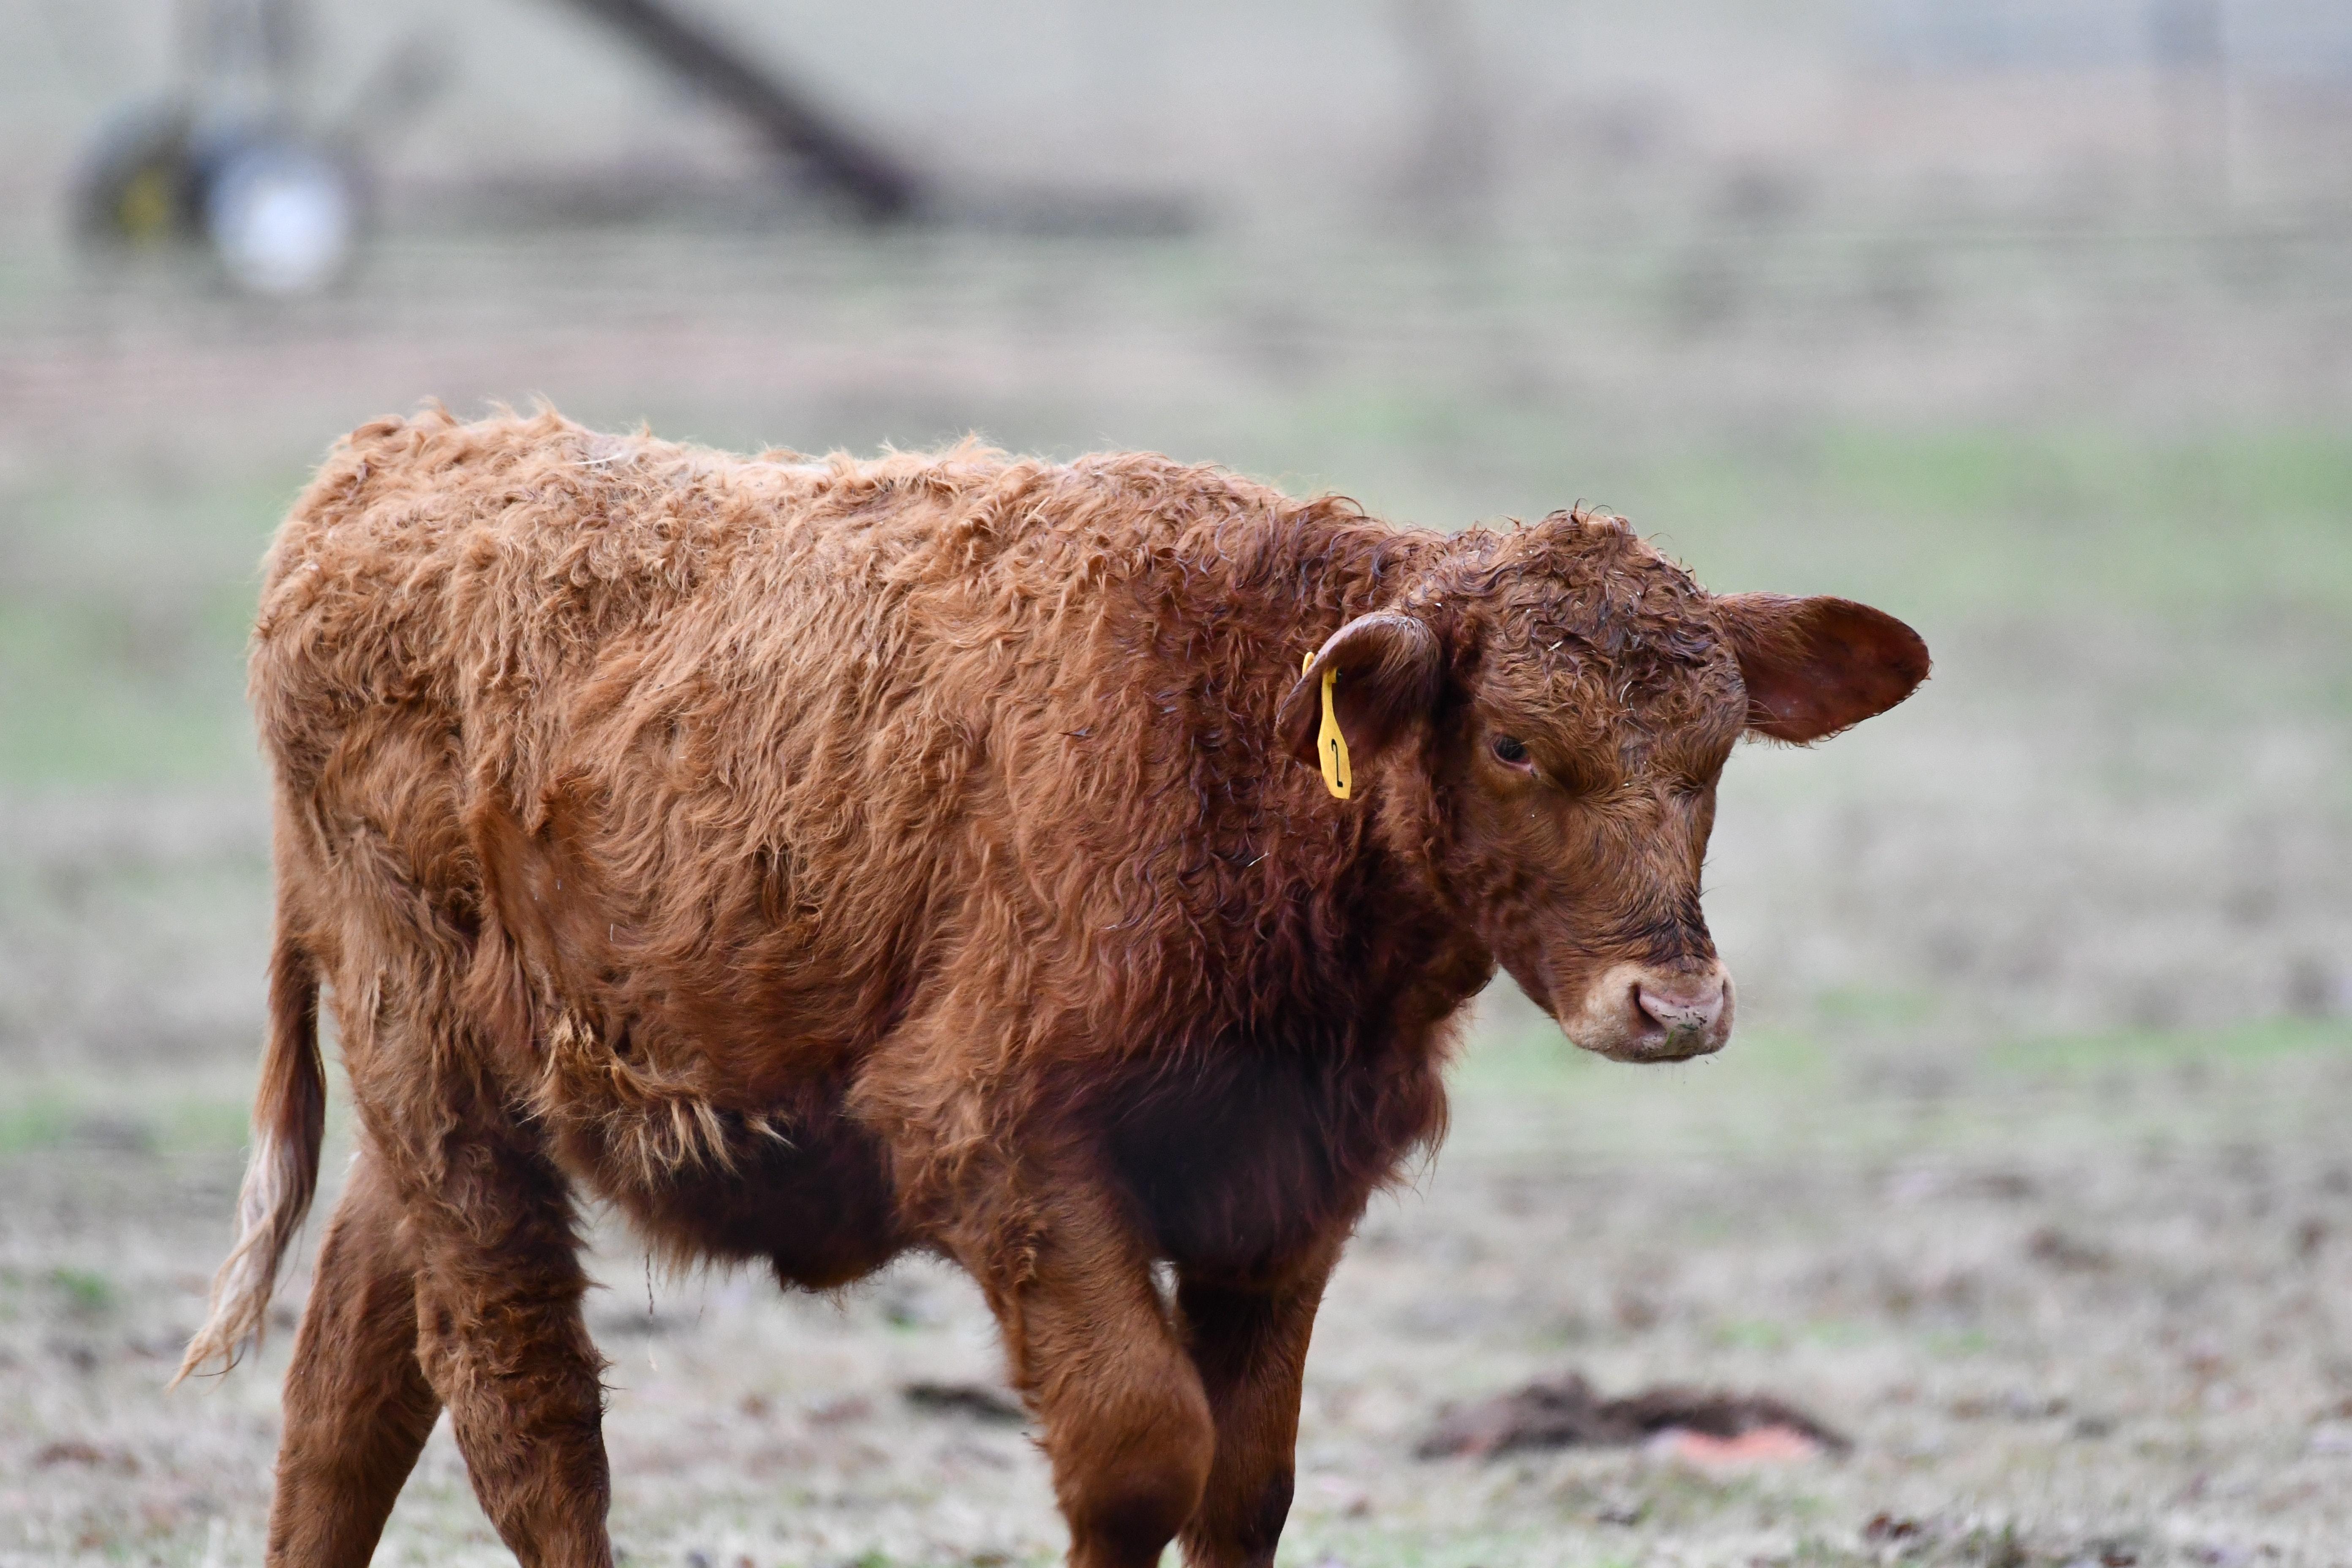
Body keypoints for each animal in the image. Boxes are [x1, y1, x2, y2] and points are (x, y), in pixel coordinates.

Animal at [174, 409, 1919, 1568]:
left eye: (1714, 751)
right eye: (1510, 741)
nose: (1672, 1005)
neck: (1232, 736)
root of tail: (401, 459)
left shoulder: (1283, 1189)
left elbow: (1244, 1480)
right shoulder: (996, 1147)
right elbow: (1142, 1450)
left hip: (460, 1101)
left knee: (351, 1379)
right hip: (436, 1077)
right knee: (524, 1416)